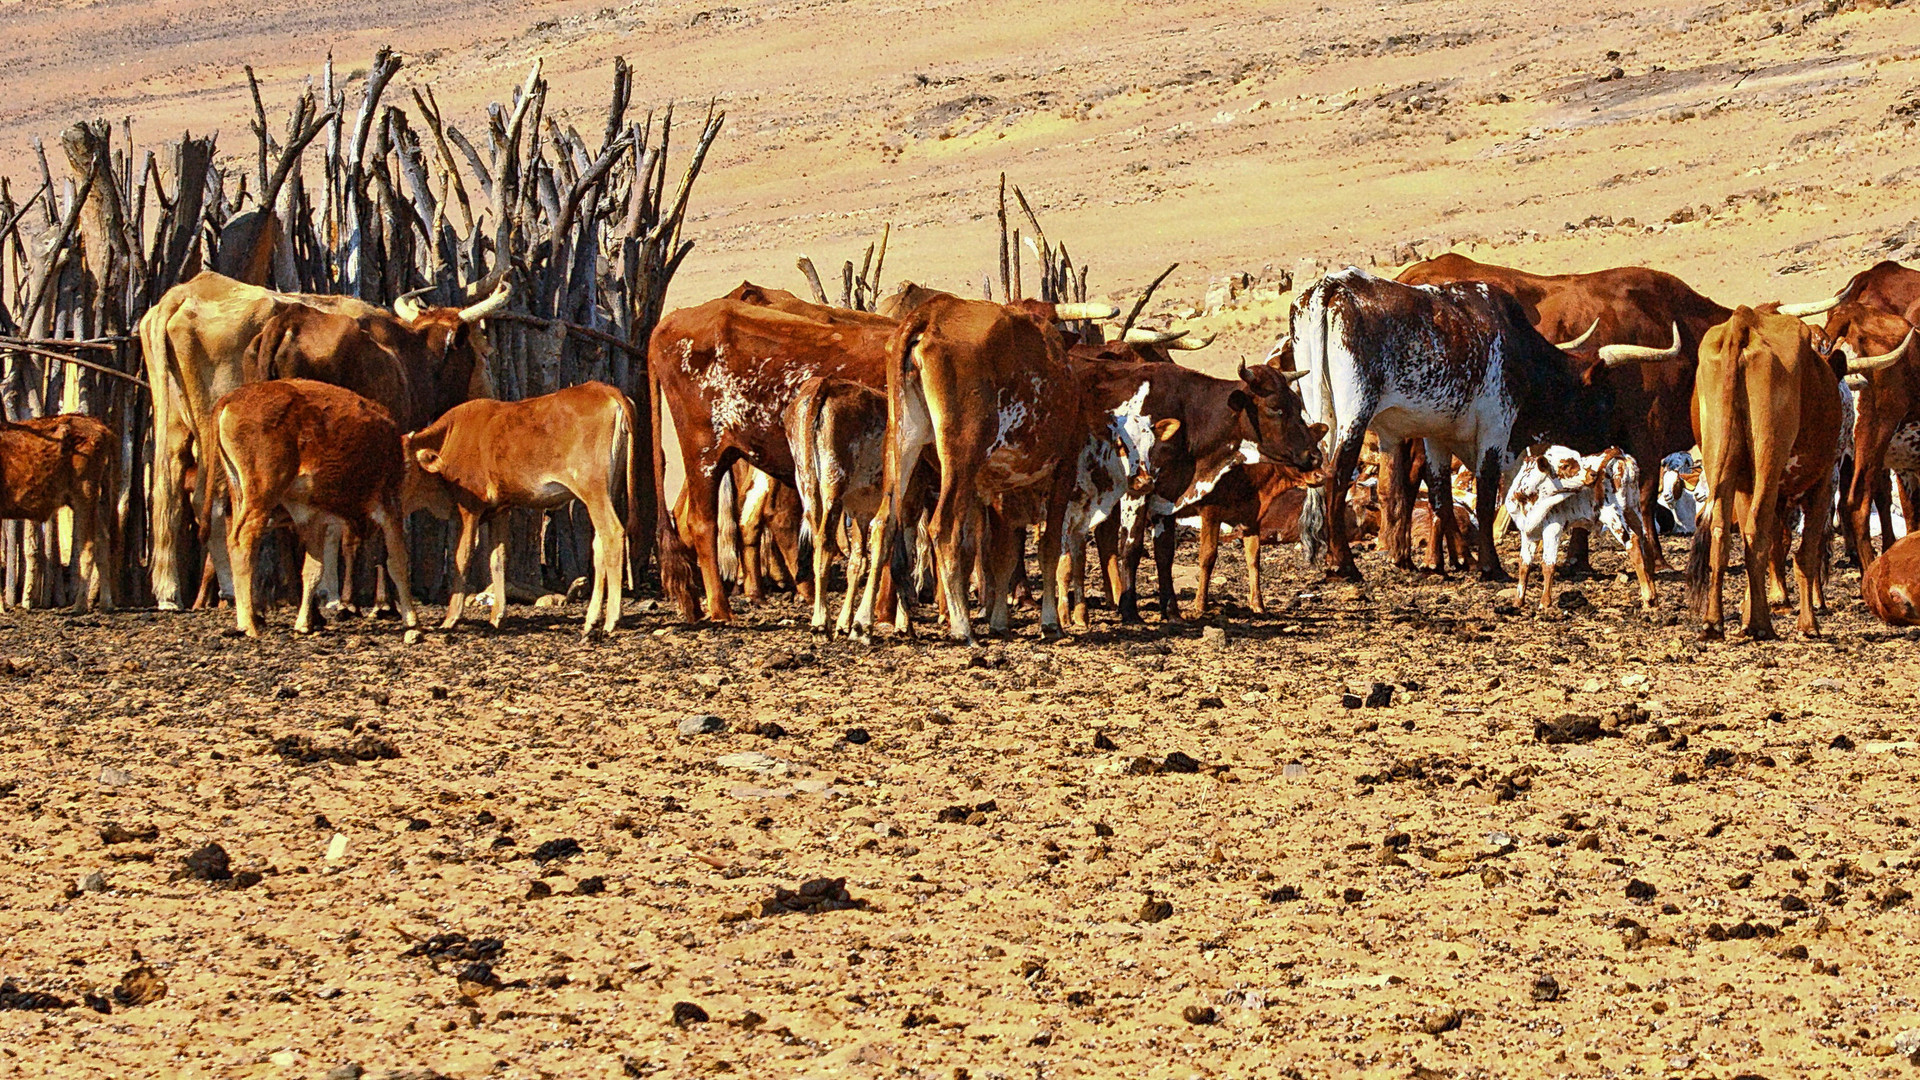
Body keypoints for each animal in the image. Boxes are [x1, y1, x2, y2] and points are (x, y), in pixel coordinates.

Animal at [0, 413, 115, 614]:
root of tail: (104, 429)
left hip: (84, 489)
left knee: (88, 544)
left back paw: (79, 605)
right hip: (83, 498)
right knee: (103, 538)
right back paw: (106, 604)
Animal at [401, 380, 641, 634]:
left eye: (404, 466)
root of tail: (603, 388)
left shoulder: (469, 510)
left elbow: (462, 558)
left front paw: (451, 618)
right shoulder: (500, 509)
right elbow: (497, 559)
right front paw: (497, 616)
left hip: (593, 490)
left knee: (613, 534)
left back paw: (611, 619)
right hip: (609, 490)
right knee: (599, 545)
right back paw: (591, 619)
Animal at [1635, 305, 1843, 638]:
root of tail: (1743, 322)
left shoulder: (1745, 484)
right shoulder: (1823, 481)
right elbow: (1804, 554)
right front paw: (1808, 624)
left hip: (1719, 457)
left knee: (1722, 534)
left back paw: (1714, 621)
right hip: (1769, 457)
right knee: (1757, 533)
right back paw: (1760, 625)